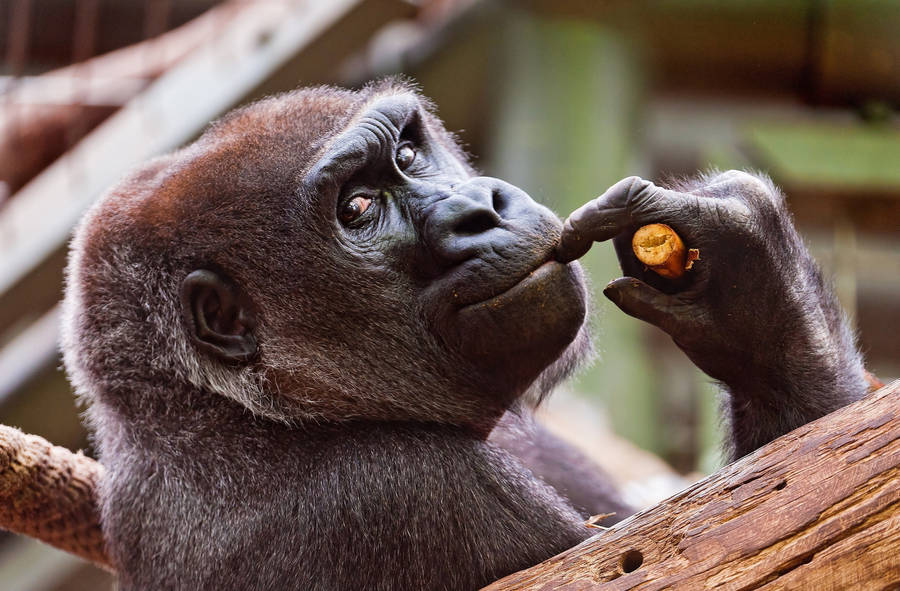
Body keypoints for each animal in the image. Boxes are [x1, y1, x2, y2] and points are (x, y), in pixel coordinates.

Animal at [60, 80, 870, 590]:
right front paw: (761, 292)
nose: (484, 208)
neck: (220, 413)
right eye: (358, 207)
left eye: (408, 154)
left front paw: (743, 294)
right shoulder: (399, 496)